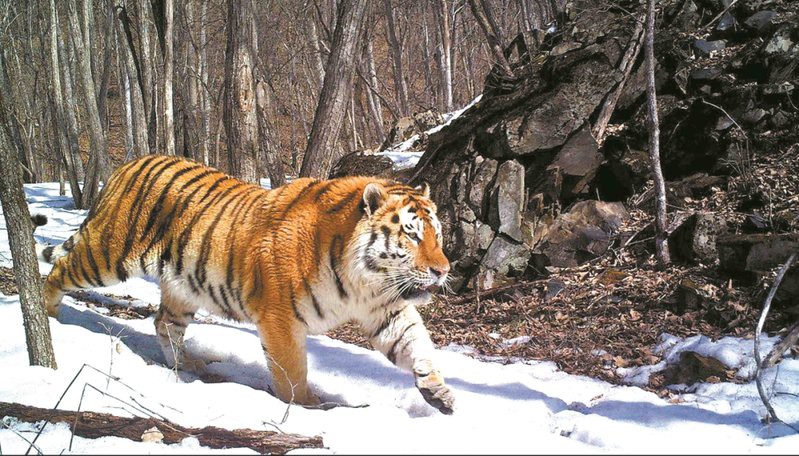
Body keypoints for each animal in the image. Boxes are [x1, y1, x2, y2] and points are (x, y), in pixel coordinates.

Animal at [35, 154, 455, 414]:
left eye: (437, 235)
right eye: (412, 235)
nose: (443, 270)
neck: (364, 280)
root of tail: (127, 165)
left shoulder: (385, 308)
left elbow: (416, 344)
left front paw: (438, 390)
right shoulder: (280, 316)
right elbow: (292, 370)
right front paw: (306, 407)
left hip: (183, 287)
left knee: (164, 323)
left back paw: (187, 368)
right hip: (107, 254)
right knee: (58, 271)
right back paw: (48, 314)